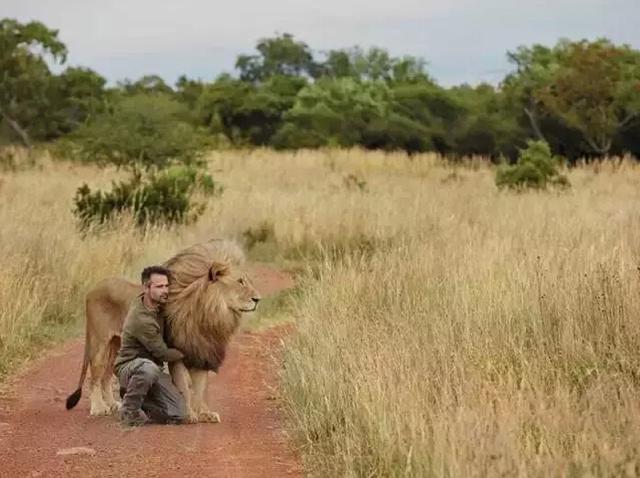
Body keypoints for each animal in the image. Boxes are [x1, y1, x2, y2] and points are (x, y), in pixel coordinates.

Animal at [65, 239, 262, 422]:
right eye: (240, 282)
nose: (258, 299)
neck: (210, 312)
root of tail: (93, 289)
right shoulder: (178, 353)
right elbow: (184, 388)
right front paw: (189, 414)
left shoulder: (201, 350)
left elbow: (200, 388)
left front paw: (204, 413)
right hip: (99, 342)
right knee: (95, 375)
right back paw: (98, 407)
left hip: (116, 343)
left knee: (107, 374)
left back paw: (113, 404)